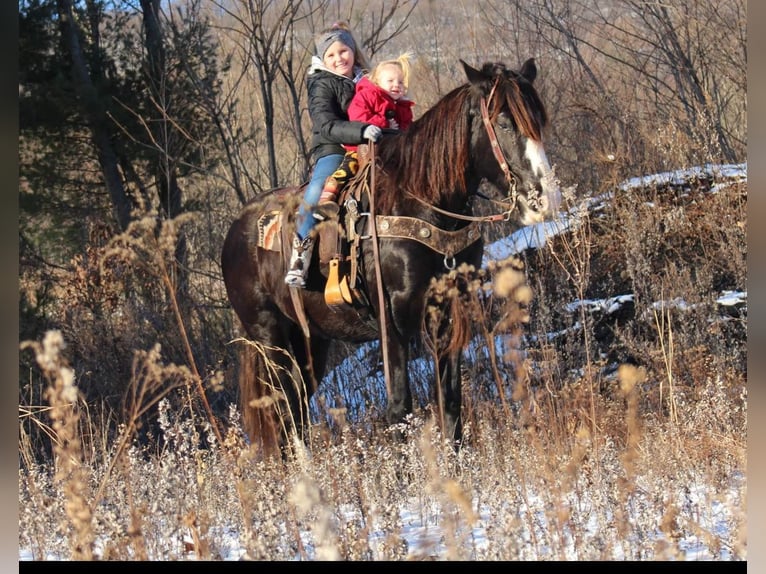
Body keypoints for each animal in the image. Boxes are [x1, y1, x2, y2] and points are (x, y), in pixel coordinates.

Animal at [222, 57, 564, 454]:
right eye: (506, 123)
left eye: (539, 121)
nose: (545, 199)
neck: (422, 203)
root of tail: (236, 231)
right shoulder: (392, 321)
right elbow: (400, 408)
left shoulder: (449, 313)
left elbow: (450, 400)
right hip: (269, 336)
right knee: (283, 410)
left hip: (311, 341)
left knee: (297, 406)